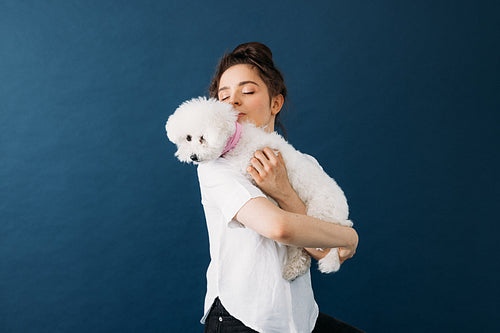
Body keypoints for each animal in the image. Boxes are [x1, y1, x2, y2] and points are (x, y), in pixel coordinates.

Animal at [164, 96, 352, 280]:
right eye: (188, 137)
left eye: (203, 138)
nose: (193, 157)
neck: (238, 139)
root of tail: (343, 215)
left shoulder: (247, 166)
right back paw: (292, 270)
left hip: (319, 215)